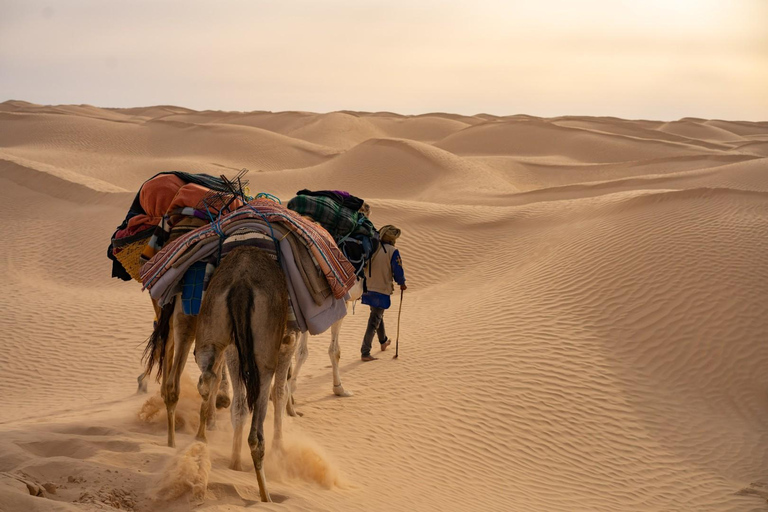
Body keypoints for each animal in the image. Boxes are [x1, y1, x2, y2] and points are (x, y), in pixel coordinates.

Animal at [192, 246, 296, 502]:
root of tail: (241, 285)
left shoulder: (234, 348)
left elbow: (238, 405)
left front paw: (235, 463)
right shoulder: (288, 341)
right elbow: (280, 392)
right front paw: (280, 451)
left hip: (212, 325)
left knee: (207, 378)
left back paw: (201, 440)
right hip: (265, 350)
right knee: (256, 432)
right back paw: (265, 495)